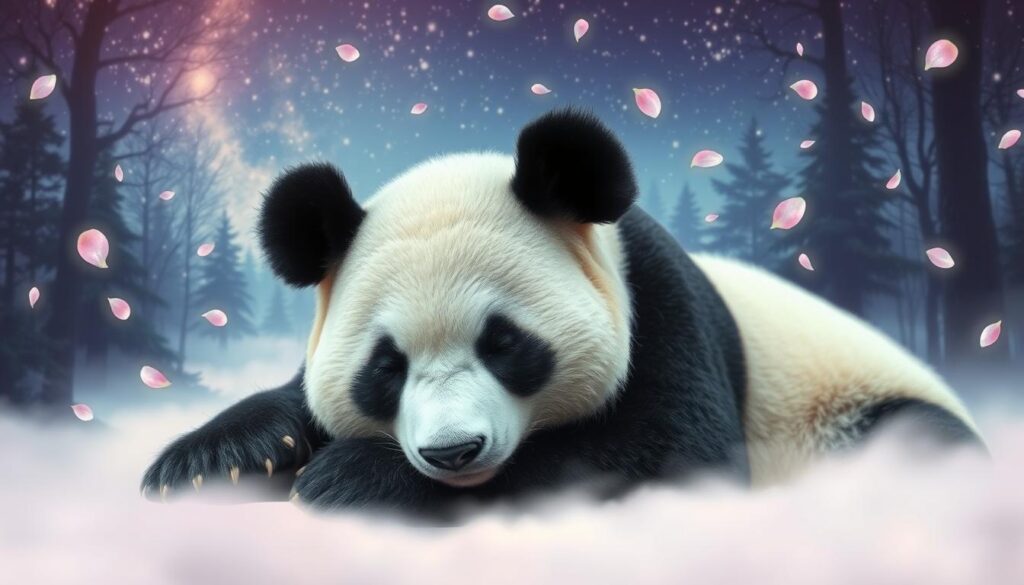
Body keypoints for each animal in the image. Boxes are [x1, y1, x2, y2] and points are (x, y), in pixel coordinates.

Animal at [142, 109, 982, 511]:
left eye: (505, 342)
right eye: (385, 366)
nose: (453, 452)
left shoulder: (661, 307)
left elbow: (669, 456)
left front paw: (348, 477)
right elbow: (290, 399)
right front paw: (207, 461)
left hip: (851, 404)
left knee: (908, 439)